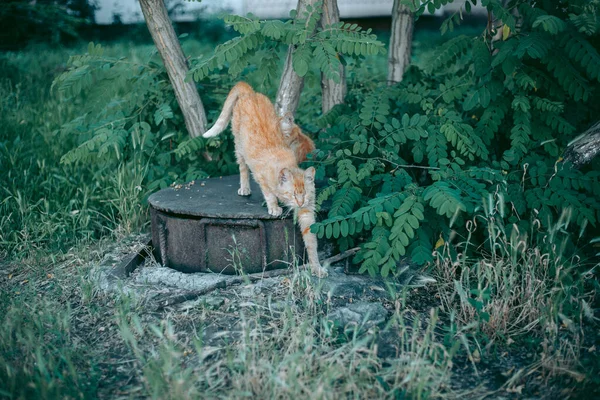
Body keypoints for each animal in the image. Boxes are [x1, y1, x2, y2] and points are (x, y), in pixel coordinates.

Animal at [205, 83, 328, 276]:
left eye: (305, 194)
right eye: (293, 194)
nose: (300, 202)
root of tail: (250, 93)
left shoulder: (307, 212)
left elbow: (311, 242)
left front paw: (317, 267)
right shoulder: (261, 177)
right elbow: (269, 194)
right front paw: (274, 207)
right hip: (239, 147)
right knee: (242, 169)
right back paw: (245, 188)